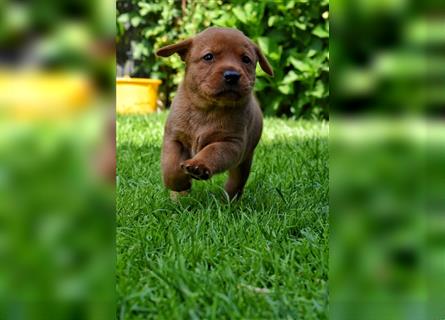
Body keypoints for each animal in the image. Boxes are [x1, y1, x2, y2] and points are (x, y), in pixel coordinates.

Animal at [156, 26, 274, 199]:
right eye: (208, 57)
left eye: (246, 59)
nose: (232, 75)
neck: (207, 109)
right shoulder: (174, 138)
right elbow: (170, 167)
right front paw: (179, 185)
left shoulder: (232, 143)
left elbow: (212, 151)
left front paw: (198, 166)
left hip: (245, 161)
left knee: (236, 182)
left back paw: (229, 198)